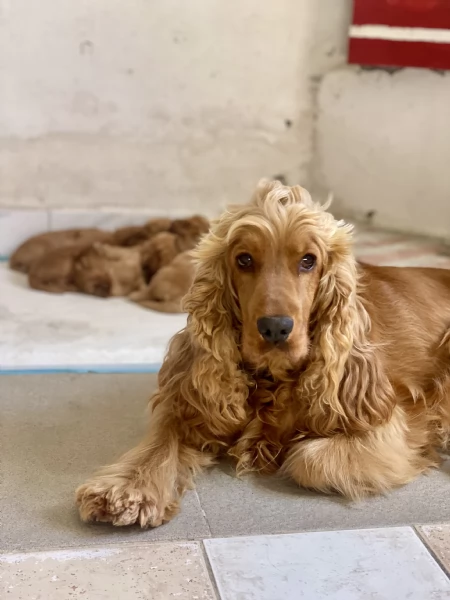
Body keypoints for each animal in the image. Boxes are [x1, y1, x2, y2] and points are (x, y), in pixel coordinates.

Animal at [76, 180, 450, 528]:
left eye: (308, 261)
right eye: (244, 259)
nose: (275, 328)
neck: (274, 379)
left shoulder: (385, 421)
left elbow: (307, 459)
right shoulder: (190, 402)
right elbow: (163, 435)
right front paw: (127, 489)